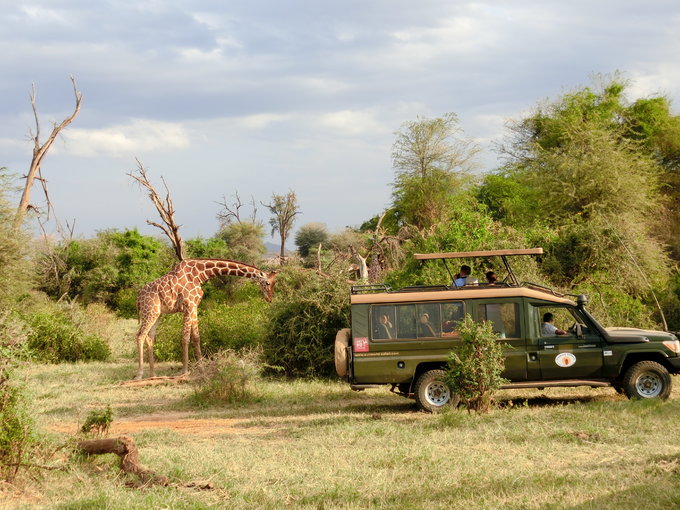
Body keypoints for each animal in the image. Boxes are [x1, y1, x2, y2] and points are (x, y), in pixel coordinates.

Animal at [133, 258, 276, 378]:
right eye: (268, 283)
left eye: (274, 283)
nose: (270, 299)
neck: (200, 274)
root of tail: (138, 297)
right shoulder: (188, 305)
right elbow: (185, 338)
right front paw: (185, 371)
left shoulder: (194, 307)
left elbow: (196, 337)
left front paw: (201, 369)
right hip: (149, 312)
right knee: (140, 335)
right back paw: (139, 375)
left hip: (158, 314)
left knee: (150, 337)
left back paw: (153, 375)